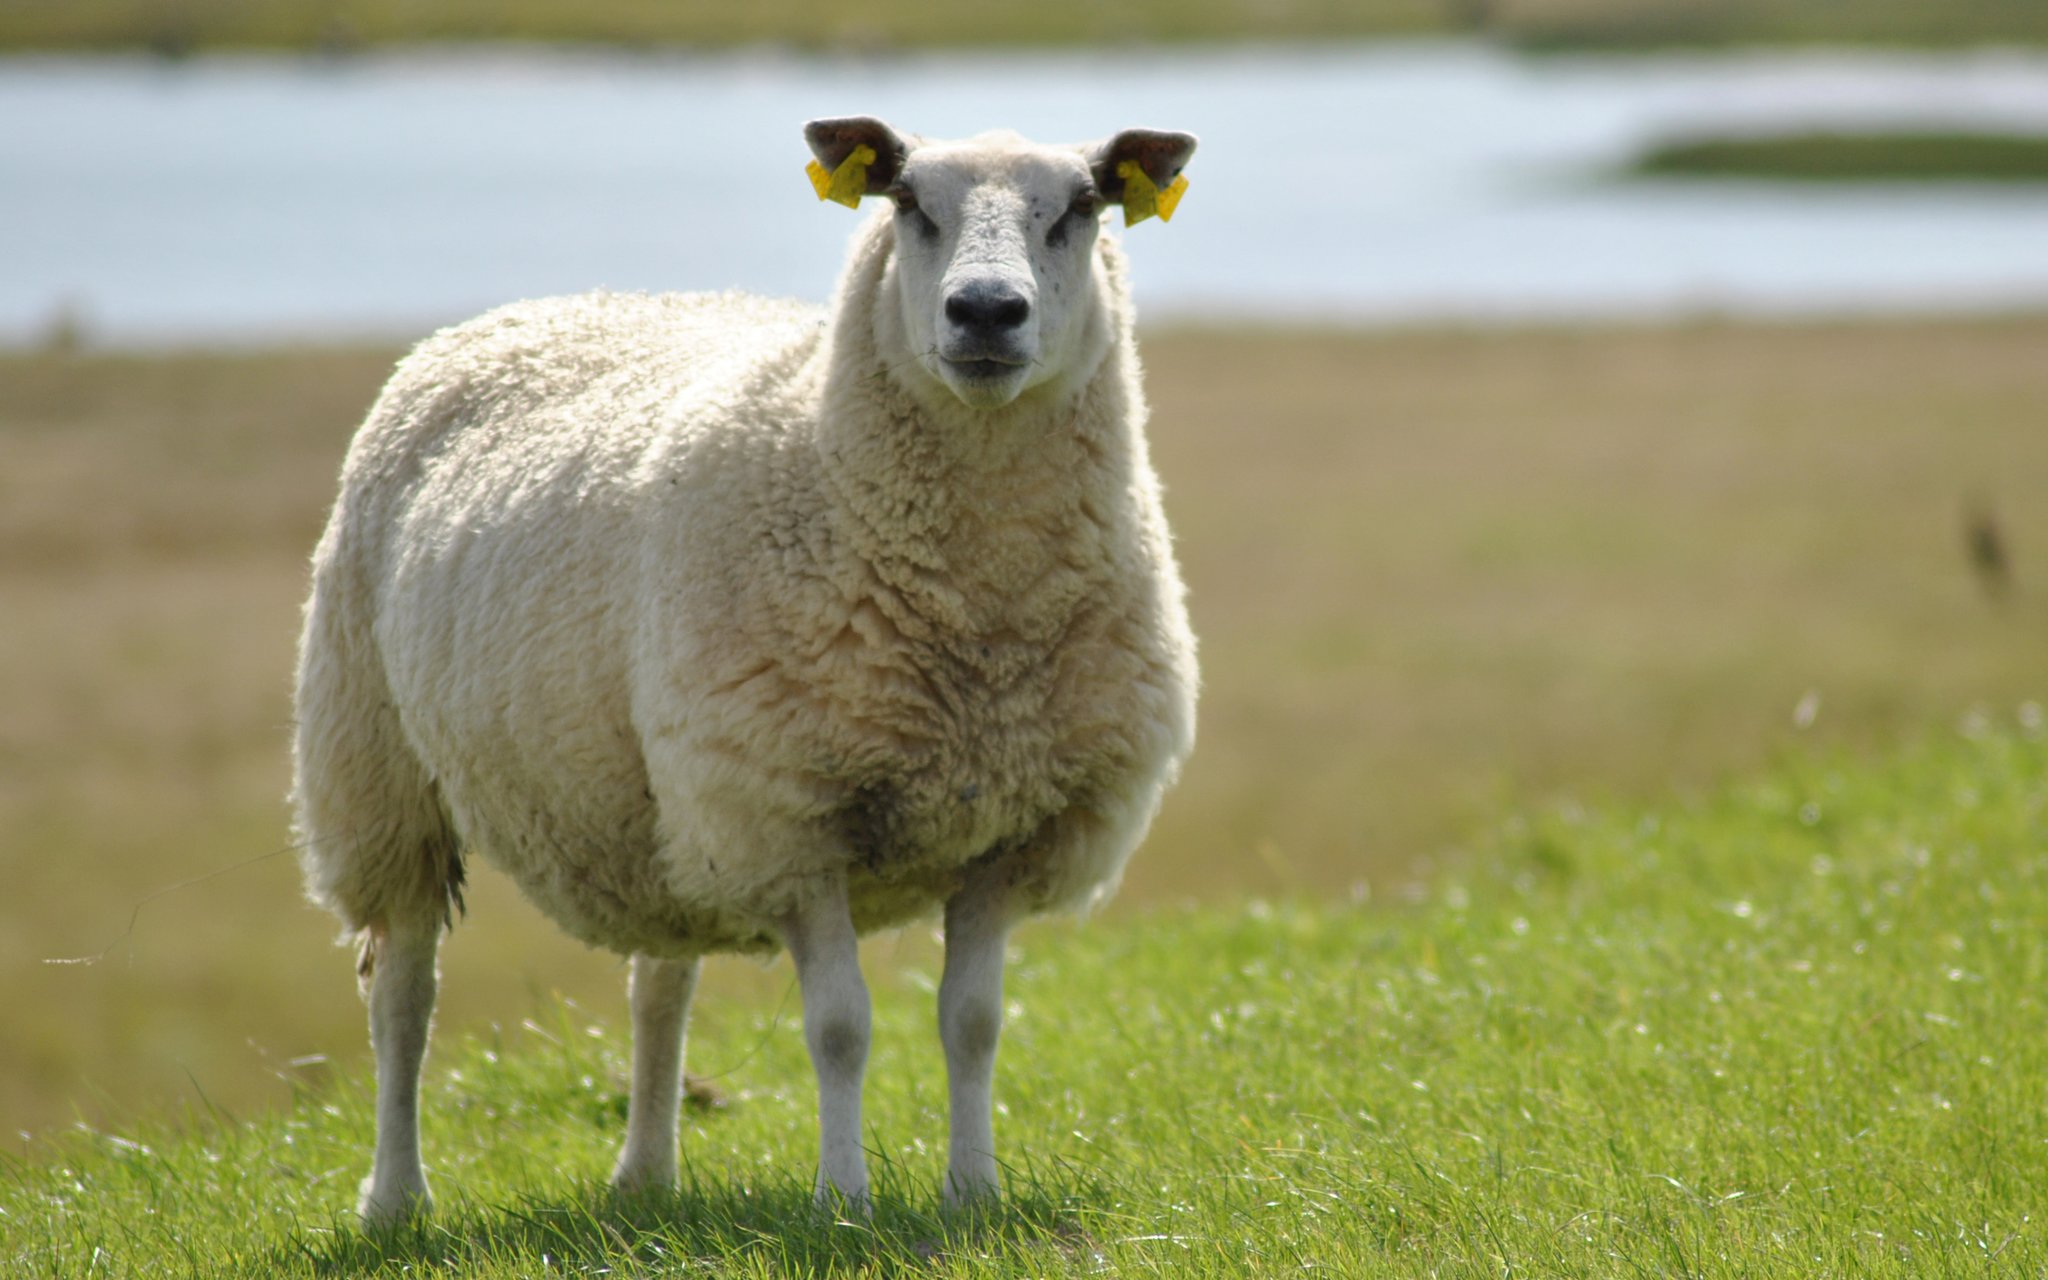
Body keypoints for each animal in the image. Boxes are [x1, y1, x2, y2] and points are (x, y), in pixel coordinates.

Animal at [292, 115, 1199, 1224]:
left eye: (1080, 208)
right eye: (907, 203)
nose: (985, 310)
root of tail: (540, 307)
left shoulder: (1010, 829)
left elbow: (974, 1021)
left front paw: (972, 1193)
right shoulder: (784, 819)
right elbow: (841, 1027)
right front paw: (843, 1200)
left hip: (655, 802)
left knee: (657, 985)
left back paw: (644, 1177)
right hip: (376, 766)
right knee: (403, 991)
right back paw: (396, 1198)